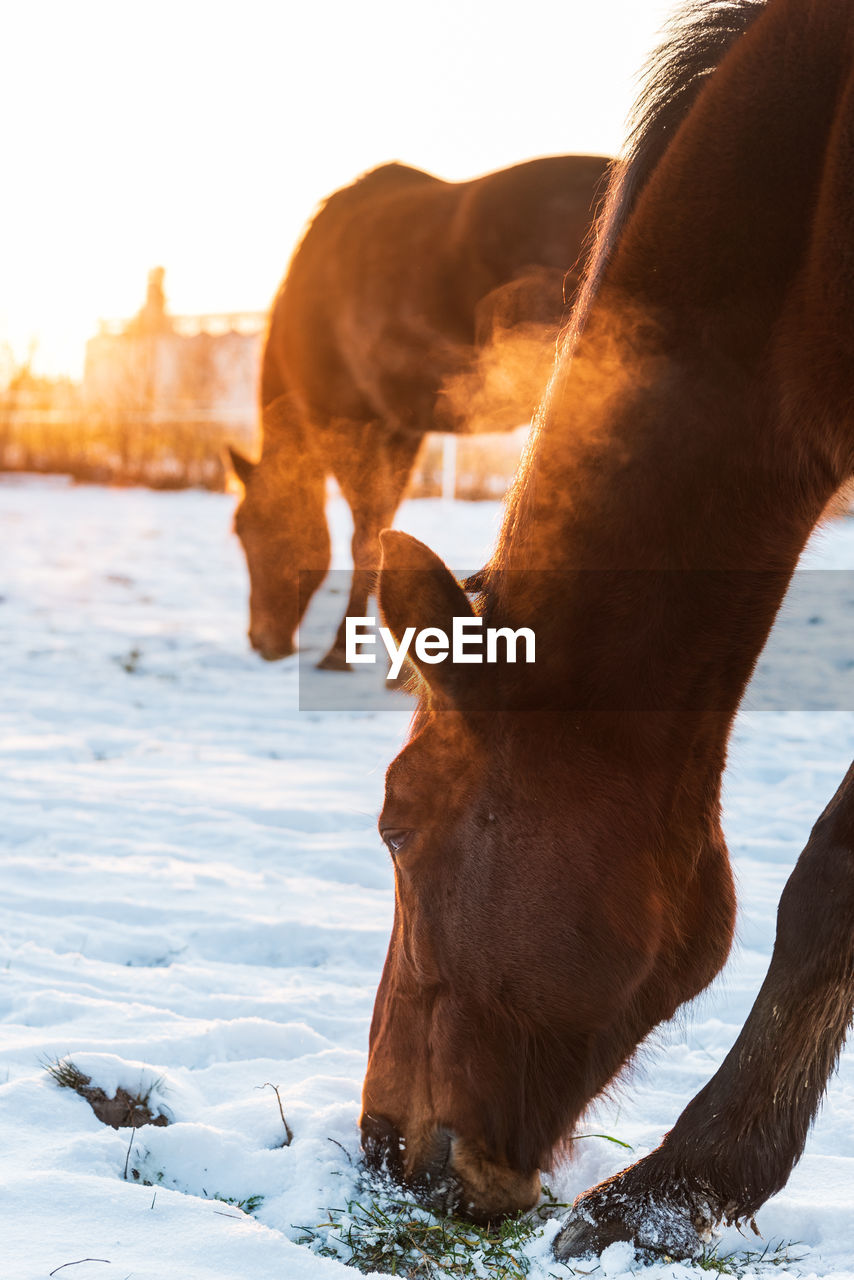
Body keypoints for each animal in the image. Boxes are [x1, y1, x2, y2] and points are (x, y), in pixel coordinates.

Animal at [226, 154, 612, 665]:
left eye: (247, 528)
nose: (261, 641)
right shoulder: (402, 431)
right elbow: (384, 529)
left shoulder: (350, 424)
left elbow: (365, 538)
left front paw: (341, 650)